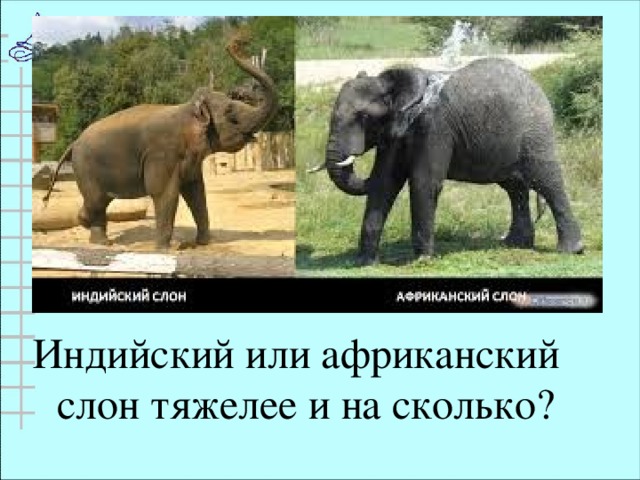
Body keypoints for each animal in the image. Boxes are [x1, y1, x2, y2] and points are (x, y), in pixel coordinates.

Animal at [43, 40, 278, 249]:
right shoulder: (162, 154)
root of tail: (73, 143)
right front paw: (166, 249)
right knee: (97, 201)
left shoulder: (189, 159)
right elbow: (165, 193)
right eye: (231, 114)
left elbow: (196, 192)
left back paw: (89, 229)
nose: (234, 44)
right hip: (85, 169)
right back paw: (100, 240)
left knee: (99, 202)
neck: (187, 110)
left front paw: (201, 244)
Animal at [312, 58, 584, 266]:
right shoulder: (394, 130)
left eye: (364, 117)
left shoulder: (435, 125)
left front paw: (422, 261)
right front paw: (365, 263)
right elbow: (384, 182)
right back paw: (514, 244)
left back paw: (571, 250)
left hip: (536, 132)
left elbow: (423, 182)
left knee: (546, 181)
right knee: (515, 188)